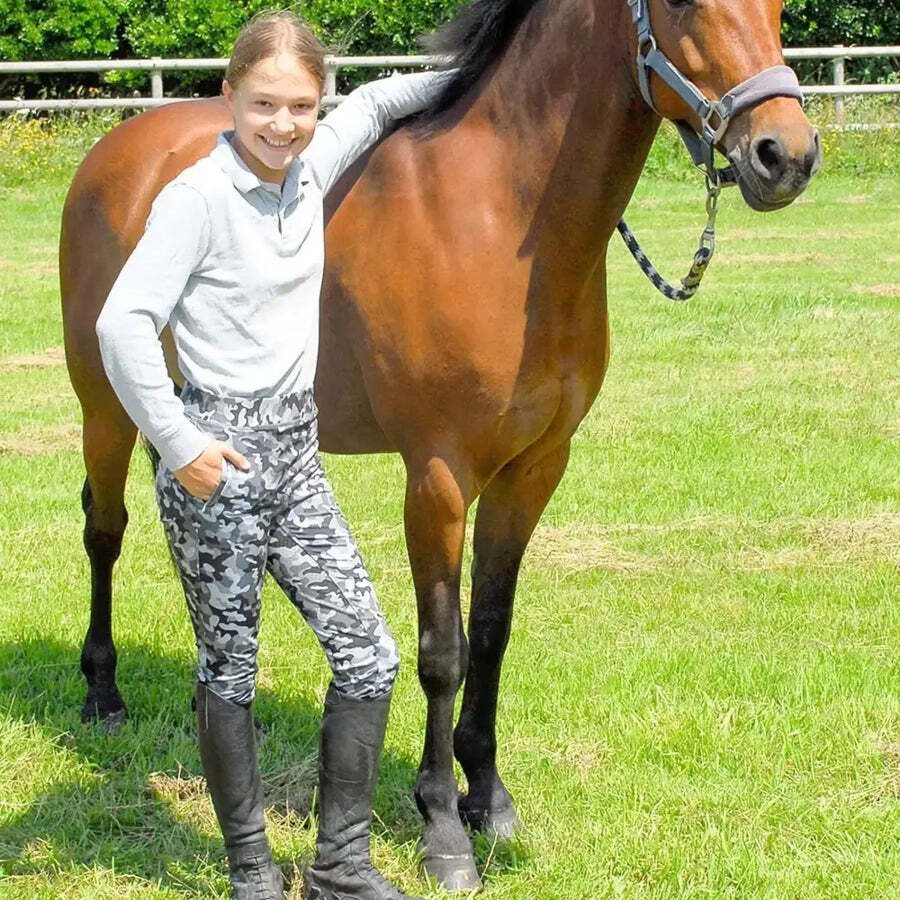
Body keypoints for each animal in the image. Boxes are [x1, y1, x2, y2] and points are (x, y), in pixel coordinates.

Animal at [60, 0, 821, 890]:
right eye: (680, 6)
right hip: (106, 409)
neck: (501, 214)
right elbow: (442, 652)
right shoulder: (438, 476)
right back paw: (103, 695)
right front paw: (443, 830)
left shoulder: (534, 470)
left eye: (777, 10)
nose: (786, 154)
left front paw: (487, 798)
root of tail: (115, 152)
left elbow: (491, 633)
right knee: (105, 534)